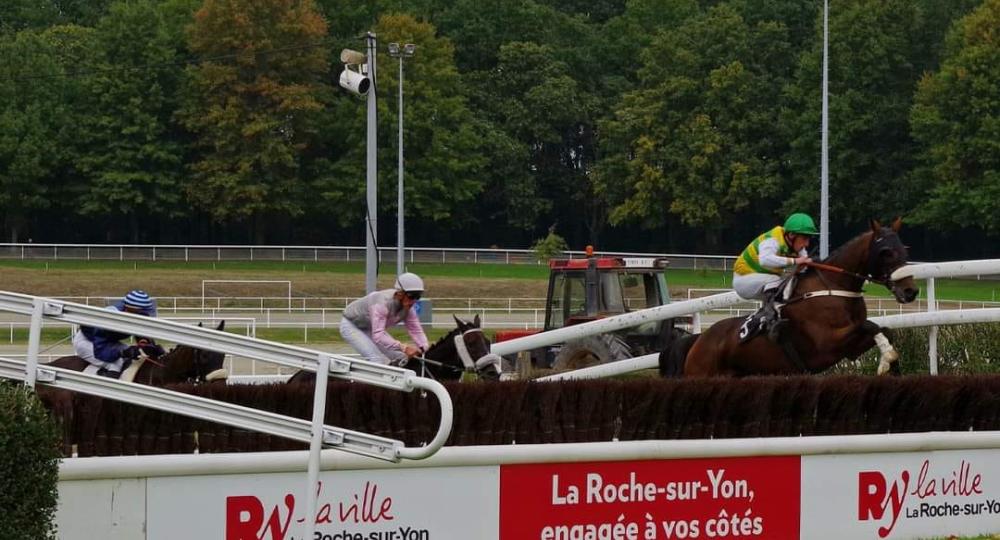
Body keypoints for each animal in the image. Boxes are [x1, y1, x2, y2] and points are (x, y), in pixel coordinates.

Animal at [660, 218, 916, 376]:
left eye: (904, 248)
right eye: (885, 252)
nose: (911, 291)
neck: (835, 286)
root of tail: (698, 340)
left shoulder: (849, 349)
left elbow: (884, 329)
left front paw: (888, 363)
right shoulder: (828, 343)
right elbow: (871, 325)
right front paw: (887, 359)